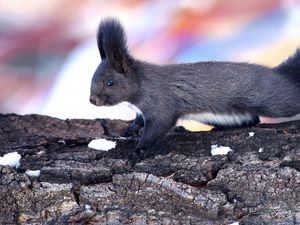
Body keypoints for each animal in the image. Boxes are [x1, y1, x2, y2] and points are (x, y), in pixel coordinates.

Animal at [89, 18, 300, 153]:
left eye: (110, 82)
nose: (92, 100)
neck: (141, 86)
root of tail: (278, 73)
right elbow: (139, 120)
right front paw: (130, 129)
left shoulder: (161, 104)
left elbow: (158, 127)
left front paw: (138, 151)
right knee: (253, 120)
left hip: (275, 100)